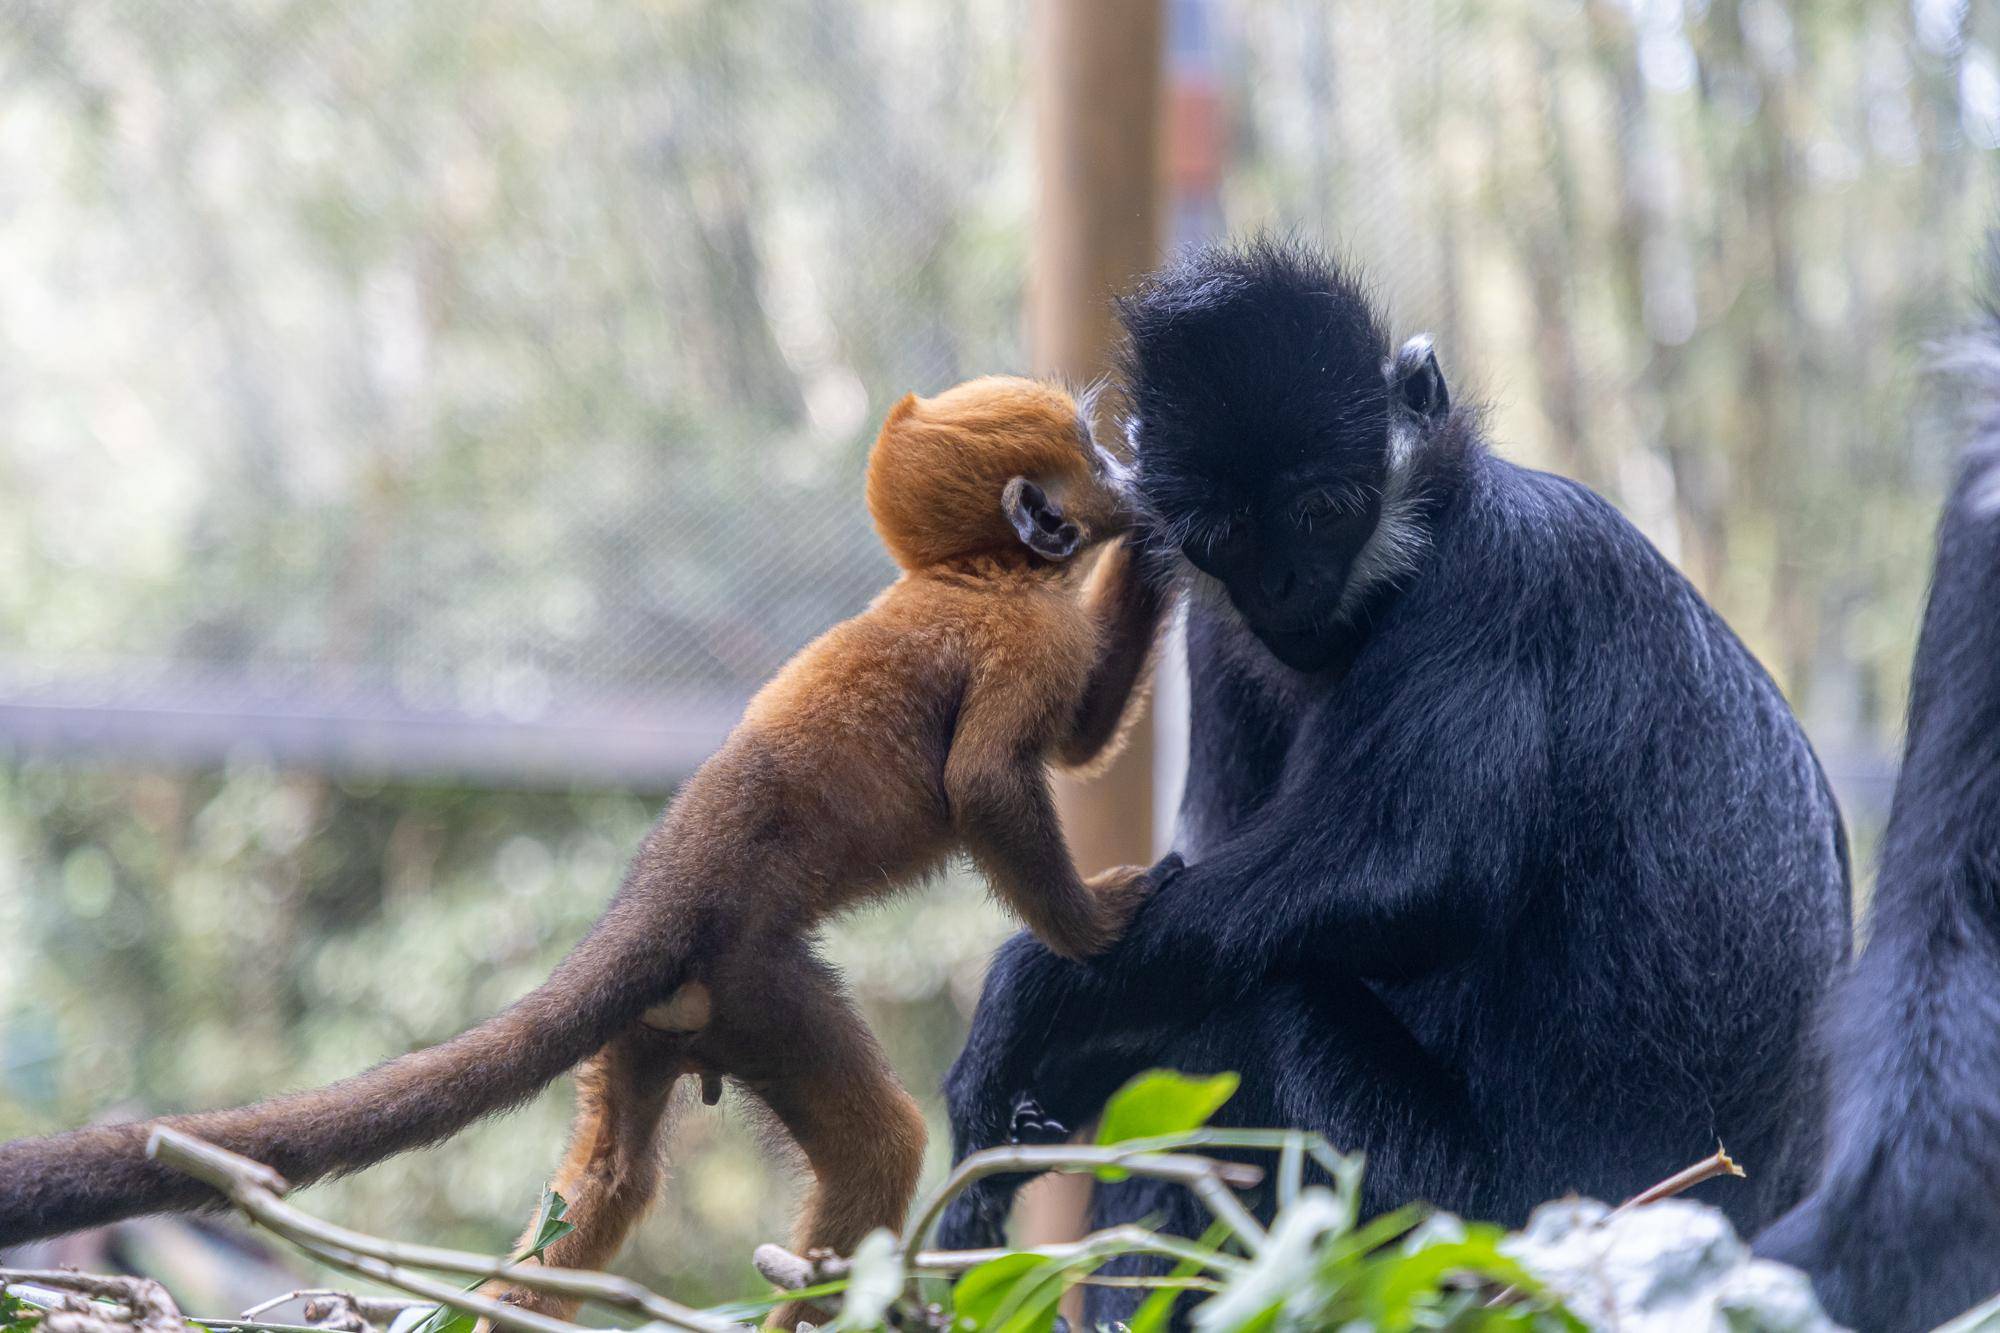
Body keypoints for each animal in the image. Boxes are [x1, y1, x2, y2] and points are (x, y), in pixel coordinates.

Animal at [0, 370, 1168, 1320]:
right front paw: (1095, 926)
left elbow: (1069, 742)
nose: (1122, 462)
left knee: (605, 1179)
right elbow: (988, 780)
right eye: (1085, 443)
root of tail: (662, 889)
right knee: (877, 1145)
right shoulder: (1024, 629)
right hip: (757, 983)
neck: (969, 569)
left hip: (659, 1020)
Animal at [944, 236, 1848, 1320]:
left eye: (1321, 512)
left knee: (1257, 1009)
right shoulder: (1218, 631)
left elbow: (1416, 879)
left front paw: (1031, 995)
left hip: (1471, 1222)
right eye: (1226, 536)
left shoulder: (1499, 571)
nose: (1285, 585)